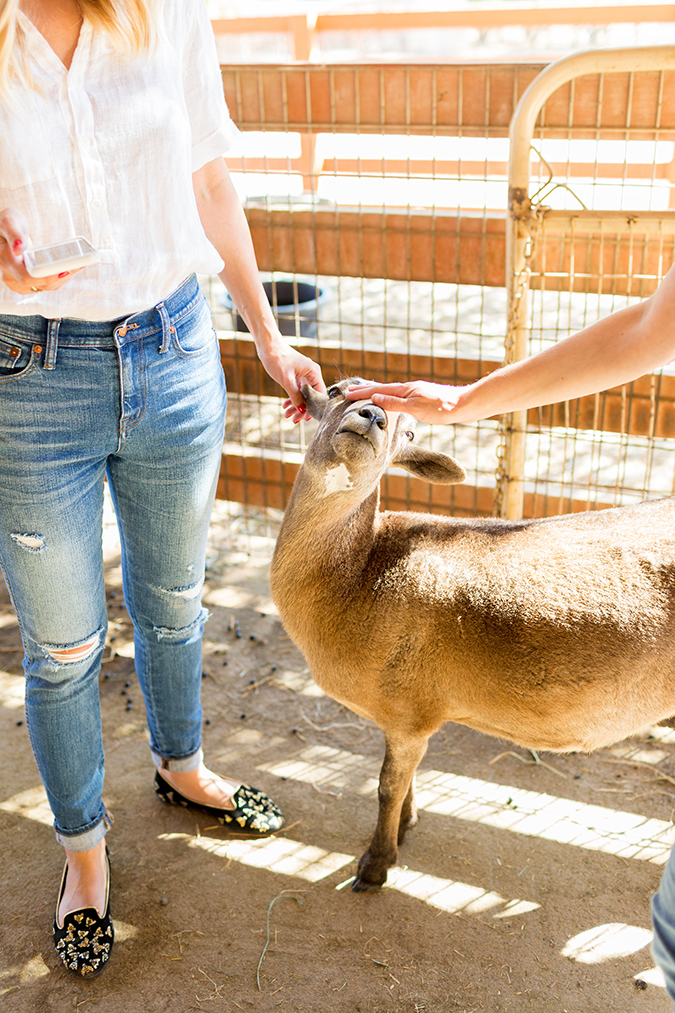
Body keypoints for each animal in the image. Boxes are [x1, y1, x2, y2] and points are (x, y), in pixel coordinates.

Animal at [269, 378, 675, 887]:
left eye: (409, 432)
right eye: (339, 389)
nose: (373, 416)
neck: (358, 576)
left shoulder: (410, 710)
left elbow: (385, 787)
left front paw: (376, 865)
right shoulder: (406, 716)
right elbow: (404, 780)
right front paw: (406, 825)